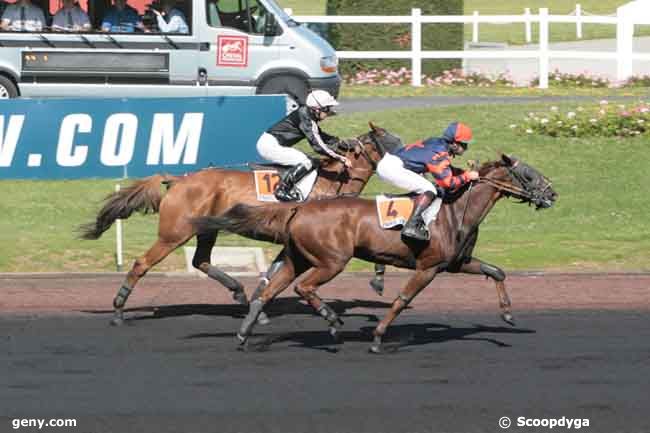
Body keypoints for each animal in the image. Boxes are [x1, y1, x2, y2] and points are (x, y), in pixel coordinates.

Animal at [81, 121, 394, 324]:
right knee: (142, 263)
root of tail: (179, 180)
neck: (329, 184)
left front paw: (260, 307)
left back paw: (239, 293)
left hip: (206, 229)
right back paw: (119, 310)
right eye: (392, 141)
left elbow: (271, 274)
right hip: (174, 234)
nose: (405, 156)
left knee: (201, 261)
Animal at [191, 154, 552, 352]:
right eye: (529, 174)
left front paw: (507, 314)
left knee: (268, 293)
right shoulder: (428, 267)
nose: (552, 195)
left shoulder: (456, 263)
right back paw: (331, 320)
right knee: (304, 288)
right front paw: (378, 337)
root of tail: (300, 206)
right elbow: (401, 301)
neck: (454, 210)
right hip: (331, 261)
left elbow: (497, 271)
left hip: (298, 258)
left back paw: (243, 334)